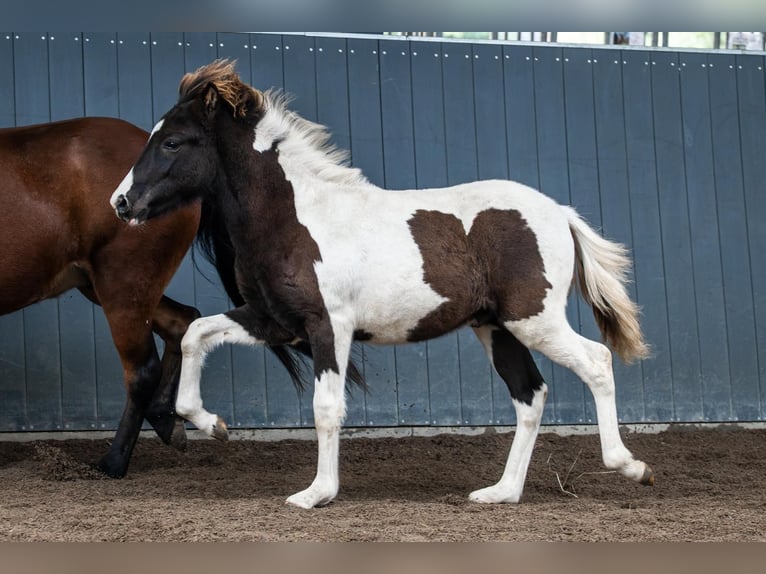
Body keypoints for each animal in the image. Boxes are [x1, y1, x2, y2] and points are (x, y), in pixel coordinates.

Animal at [112, 59, 653, 508]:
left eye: (173, 142)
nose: (120, 203)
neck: (296, 218)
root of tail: (560, 213)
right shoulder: (274, 321)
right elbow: (195, 333)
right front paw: (213, 425)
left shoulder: (328, 325)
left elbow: (326, 407)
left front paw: (316, 494)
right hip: (496, 326)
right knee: (530, 394)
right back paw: (501, 492)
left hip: (533, 318)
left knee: (596, 362)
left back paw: (631, 467)